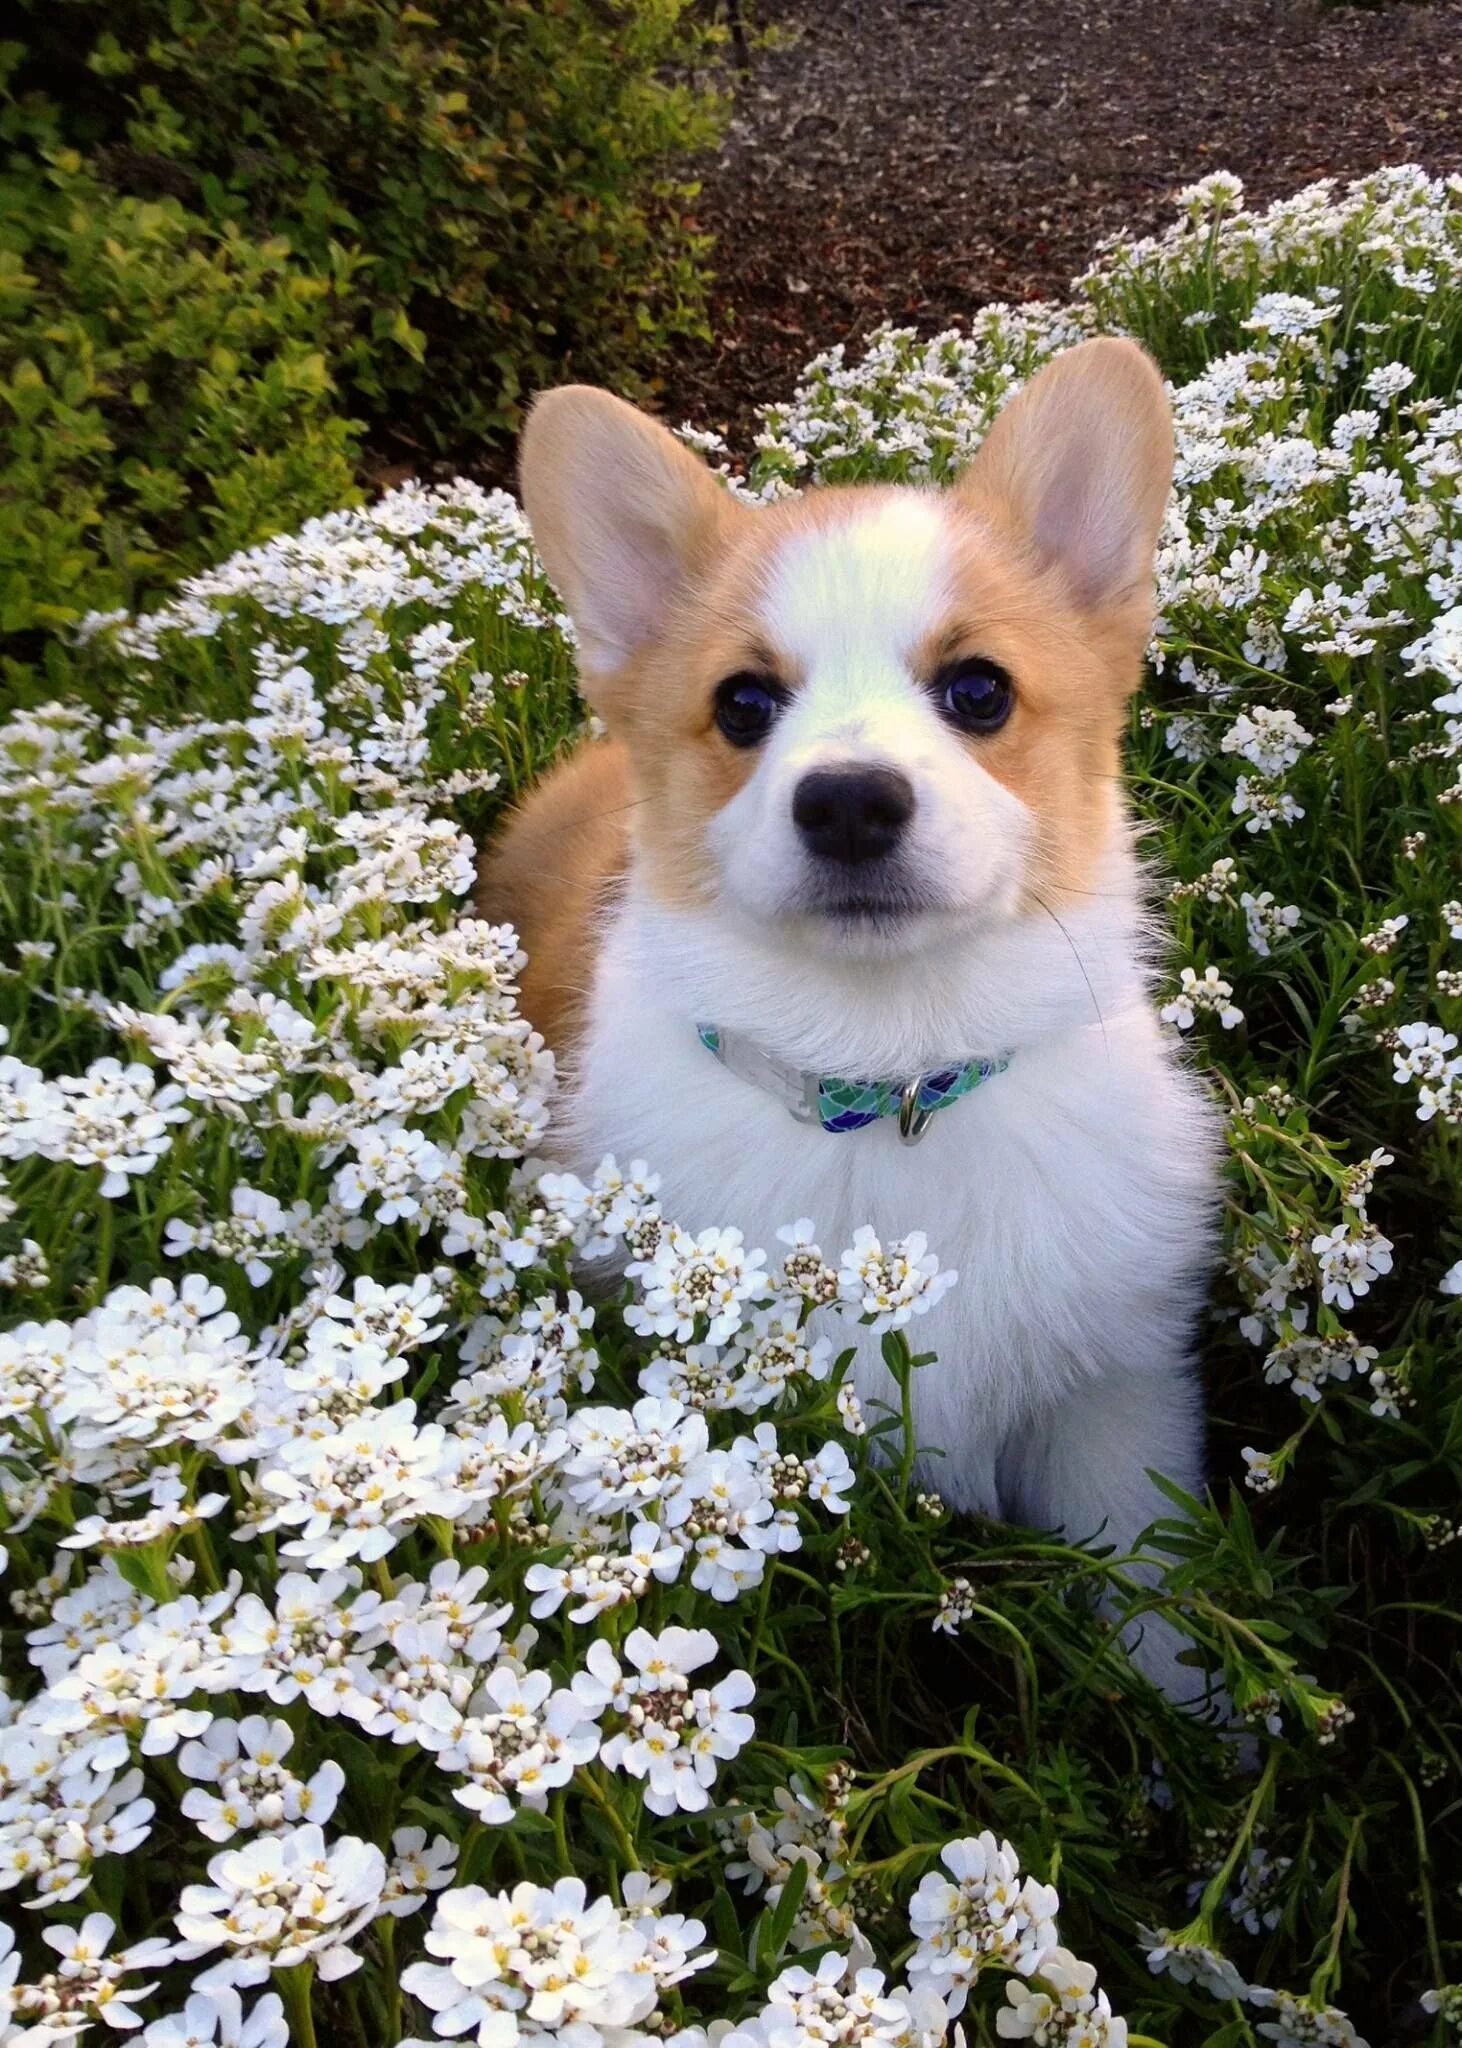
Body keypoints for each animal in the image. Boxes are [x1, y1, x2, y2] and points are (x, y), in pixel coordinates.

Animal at [481, 348, 1220, 1695]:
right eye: (742, 703)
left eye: (978, 689)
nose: (848, 804)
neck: (884, 1080)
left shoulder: (1114, 1392)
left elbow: (1157, 1607)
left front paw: (1196, 1725)